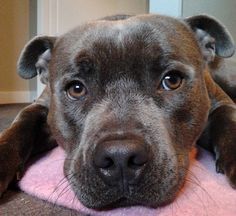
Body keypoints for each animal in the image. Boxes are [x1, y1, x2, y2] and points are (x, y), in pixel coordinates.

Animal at [0, 13, 236, 209]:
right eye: (76, 89)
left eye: (172, 80)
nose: (120, 157)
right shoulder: (40, 107)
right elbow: (19, 126)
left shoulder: (220, 103)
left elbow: (229, 121)